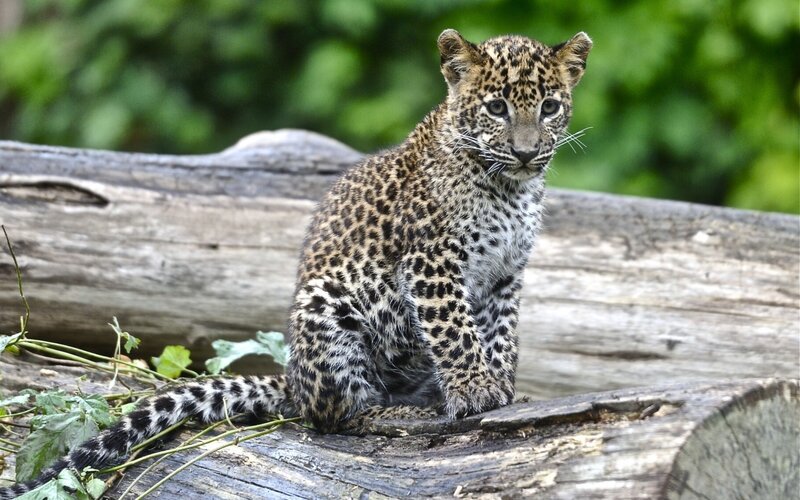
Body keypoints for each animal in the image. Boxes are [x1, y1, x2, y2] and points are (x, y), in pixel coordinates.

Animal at [0, 28, 591, 498]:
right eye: (495, 108)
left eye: (549, 107)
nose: (526, 152)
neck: (510, 190)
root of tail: (291, 379)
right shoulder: (432, 263)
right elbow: (456, 331)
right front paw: (476, 390)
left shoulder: (506, 274)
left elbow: (500, 334)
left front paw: (504, 387)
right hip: (326, 311)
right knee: (332, 416)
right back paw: (399, 411)